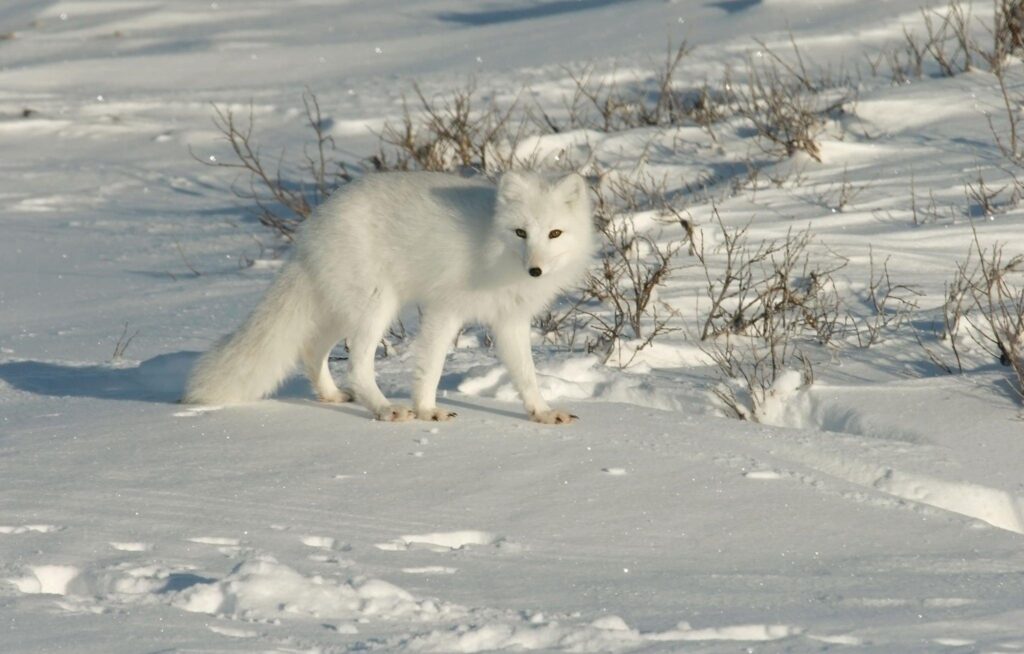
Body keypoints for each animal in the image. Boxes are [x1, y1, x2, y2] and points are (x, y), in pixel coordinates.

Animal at [186, 168, 593, 425]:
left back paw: (331, 396)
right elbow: (431, 367)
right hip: (375, 305)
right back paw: (385, 409)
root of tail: (311, 227)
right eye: (521, 232)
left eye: (555, 233)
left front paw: (541, 412)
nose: (535, 271)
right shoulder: (445, 309)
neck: (495, 251)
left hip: (342, 309)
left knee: (311, 350)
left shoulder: (509, 320)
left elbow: (526, 375)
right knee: (356, 366)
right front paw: (428, 411)